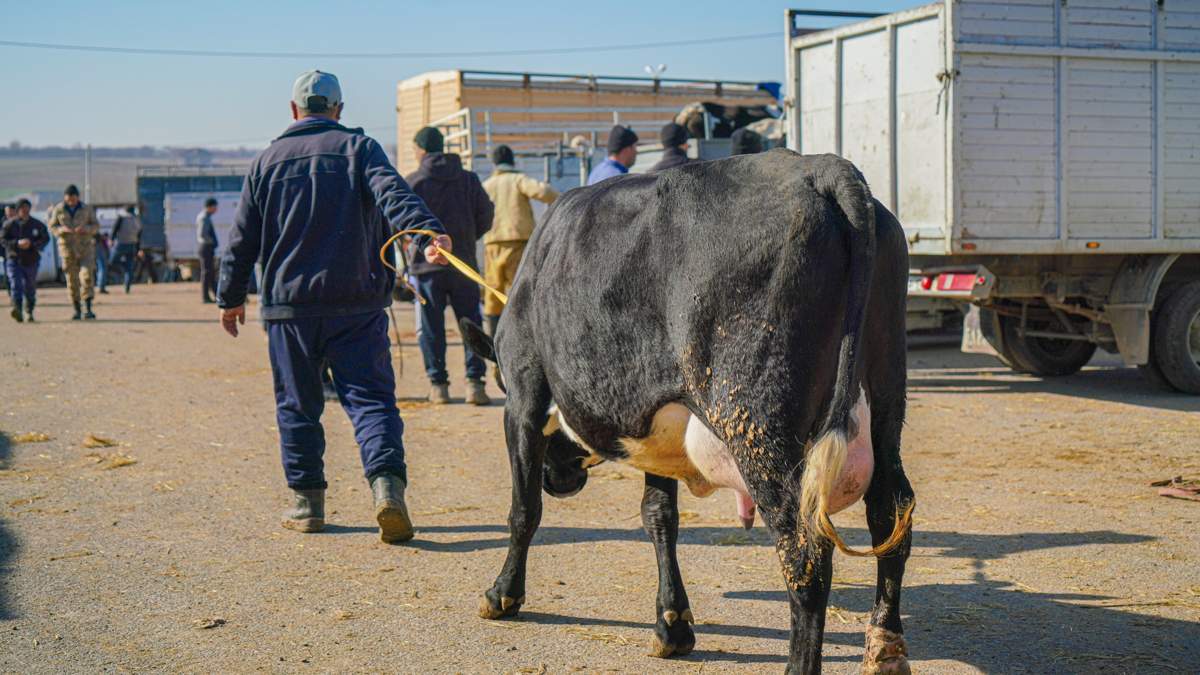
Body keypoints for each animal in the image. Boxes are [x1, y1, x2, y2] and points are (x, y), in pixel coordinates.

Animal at [463, 149, 912, 667]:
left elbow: (523, 510)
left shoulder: (523, 397)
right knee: (891, 515)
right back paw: (885, 645)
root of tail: (820, 168)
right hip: (884, 402)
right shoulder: (659, 427)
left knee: (805, 552)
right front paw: (672, 623)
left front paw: (502, 594)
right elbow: (659, 516)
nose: (562, 480)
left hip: (756, 422)